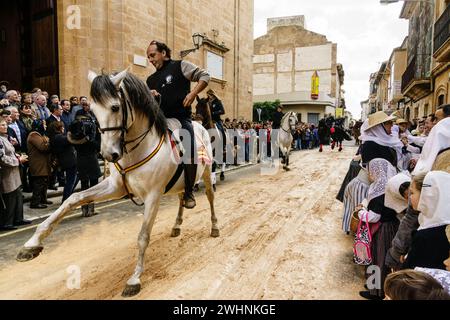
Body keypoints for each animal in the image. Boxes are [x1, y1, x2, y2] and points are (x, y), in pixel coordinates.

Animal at [17, 69, 220, 298]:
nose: (108, 154)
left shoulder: (153, 196)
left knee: (211, 198)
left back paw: (214, 227)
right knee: (181, 198)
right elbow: (73, 198)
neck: (137, 149)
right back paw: (177, 224)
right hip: (179, 184)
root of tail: (200, 126)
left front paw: (134, 278)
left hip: (206, 174)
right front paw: (32, 244)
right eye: (93, 110)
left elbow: (143, 236)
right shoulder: (115, 187)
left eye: (115, 107)